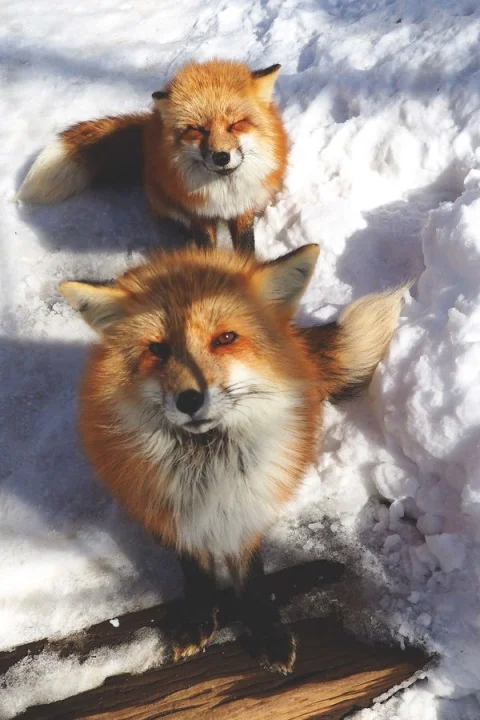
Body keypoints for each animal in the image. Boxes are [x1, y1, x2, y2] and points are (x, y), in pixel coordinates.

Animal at [17, 59, 288, 254]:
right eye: (197, 129)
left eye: (236, 125)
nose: (221, 157)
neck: (225, 193)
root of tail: (150, 126)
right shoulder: (198, 214)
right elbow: (206, 246)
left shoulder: (242, 208)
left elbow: (246, 247)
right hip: (161, 196)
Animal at [60, 244, 406, 673]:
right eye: (157, 349)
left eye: (225, 338)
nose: (190, 400)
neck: (209, 464)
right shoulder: (176, 510)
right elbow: (196, 572)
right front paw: (198, 618)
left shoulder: (246, 504)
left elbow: (253, 579)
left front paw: (266, 630)